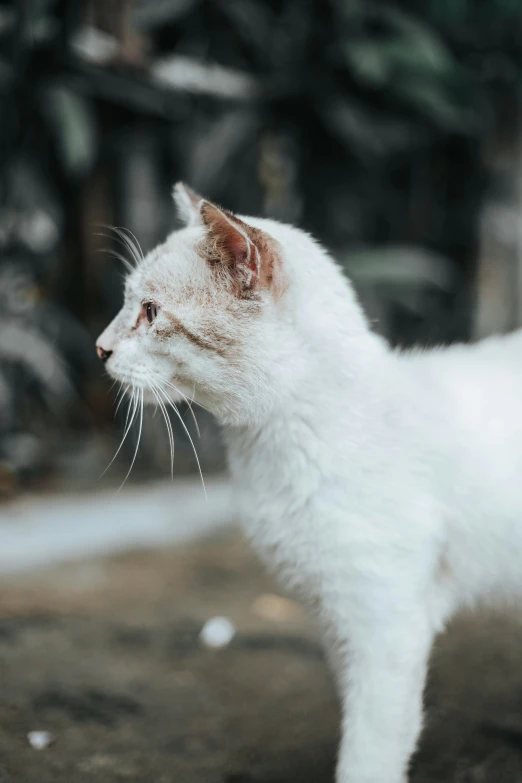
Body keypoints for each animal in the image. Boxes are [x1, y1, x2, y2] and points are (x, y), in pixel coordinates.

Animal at [98, 185, 522, 783]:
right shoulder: (338, 623)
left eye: (151, 312)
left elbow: (369, 753)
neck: (266, 457)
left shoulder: (385, 629)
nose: (99, 347)